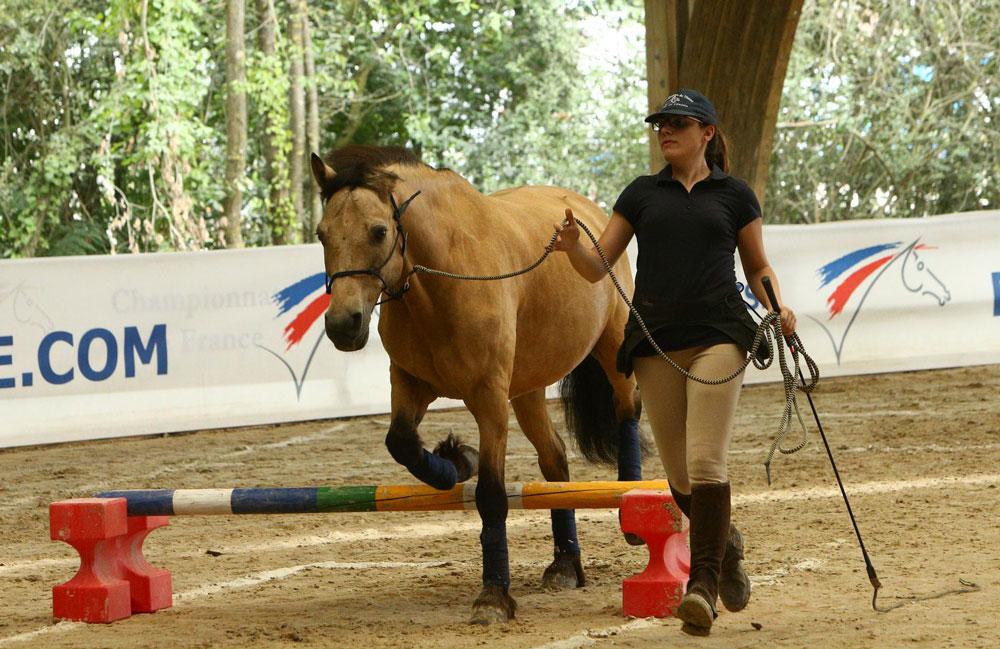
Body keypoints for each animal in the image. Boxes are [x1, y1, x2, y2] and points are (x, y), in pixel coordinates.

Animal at [310, 146, 640, 624]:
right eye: (321, 235)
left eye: (378, 231)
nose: (342, 325)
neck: (443, 280)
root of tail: (588, 211)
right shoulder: (410, 385)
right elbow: (402, 443)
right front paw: (456, 461)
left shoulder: (489, 400)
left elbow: (491, 496)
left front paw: (493, 596)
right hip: (528, 390)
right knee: (555, 461)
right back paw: (565, 564)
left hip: (613, 349)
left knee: (627, 412)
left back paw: (630, 495)